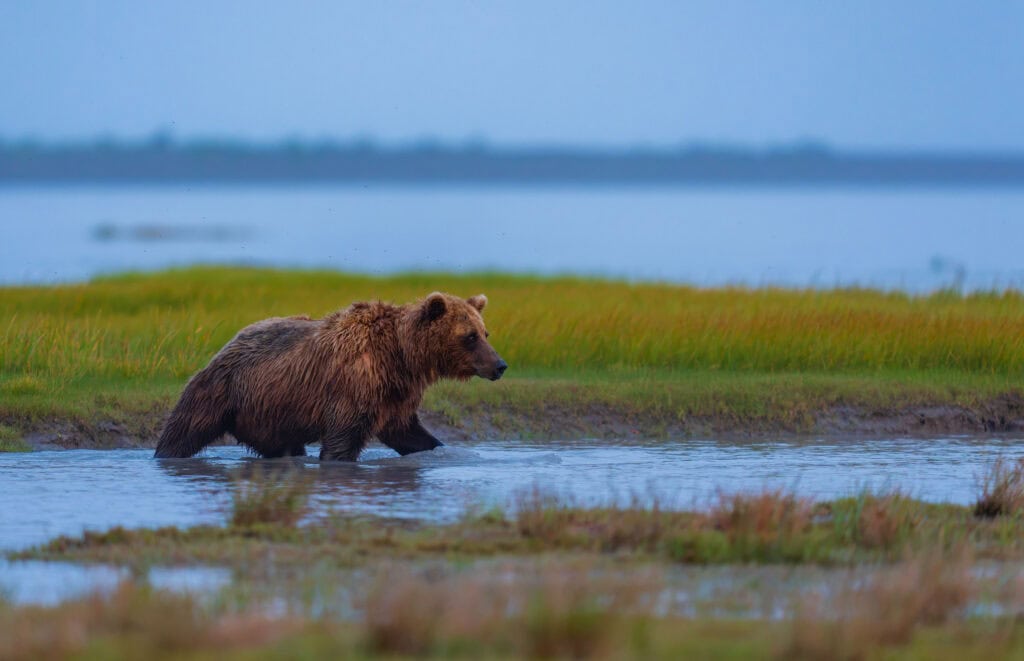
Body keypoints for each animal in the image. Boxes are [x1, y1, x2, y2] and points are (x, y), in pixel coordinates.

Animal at [154, 292, 507, 461]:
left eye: (485, 332)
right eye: (470, 336)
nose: (500, 365)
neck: (401, 356)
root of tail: (229, 342)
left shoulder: (395, 394)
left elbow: (408, 433)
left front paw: (437, 448)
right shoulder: (356, 383)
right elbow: (342, 440)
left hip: (270, 414)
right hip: (222, 391)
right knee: (184, 431)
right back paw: (167, 454)